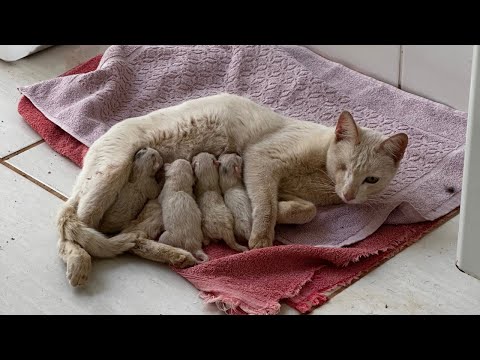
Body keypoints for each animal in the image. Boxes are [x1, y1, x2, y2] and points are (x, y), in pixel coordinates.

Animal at [58, 94, 406, 286]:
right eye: (345, 167)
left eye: (371, 180)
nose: (349, 194)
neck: (321, 174)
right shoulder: (262, 160)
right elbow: (265, 206)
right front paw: (261, 239)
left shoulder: (280, 185)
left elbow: (303, 210)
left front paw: (281, 215)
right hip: (110, 175)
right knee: (72, 229)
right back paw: (80, 265)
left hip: (148, 206)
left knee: (126, 237)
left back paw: (175, 255)